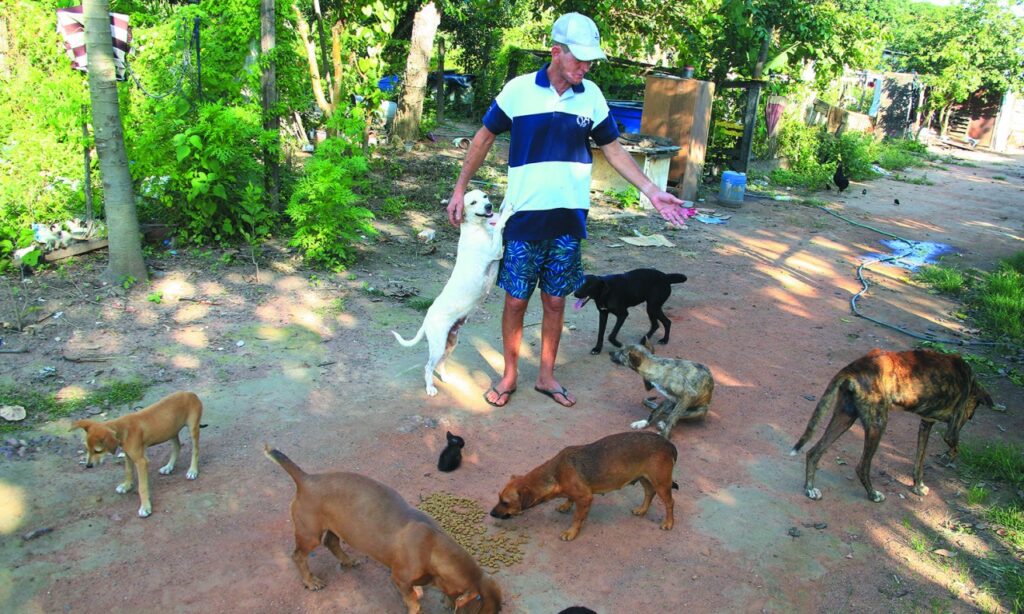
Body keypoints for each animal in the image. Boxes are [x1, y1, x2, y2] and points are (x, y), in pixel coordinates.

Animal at [70, 388, 203, 517]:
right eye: (86, 448)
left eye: (98, 450)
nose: (88, 466)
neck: (122, 429)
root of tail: (191, 394)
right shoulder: (128, 454)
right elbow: (128, 471)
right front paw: (126, 486)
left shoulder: (141, 461)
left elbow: (142, 487)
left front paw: (145, 507)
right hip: (170, 430)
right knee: (177, 447)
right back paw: (168, 467)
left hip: (193, 428)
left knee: (195, 450)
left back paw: (192, 471)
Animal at [266, 446, 501, 614]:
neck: (433, 546)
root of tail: (306, 479)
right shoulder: (399, 579)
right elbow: (413, 603)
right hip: (309, 534)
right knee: (298, 556)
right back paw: (311, 581)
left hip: (337, 526)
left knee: (331, 543)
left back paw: (348, 561)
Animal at [389, 189, 509, 395]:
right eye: (473, 202)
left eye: (485, 196)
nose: (489, 206)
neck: (477, 229)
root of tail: (427, 318)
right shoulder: (496, 251)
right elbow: (500, 226)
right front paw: (508, 211)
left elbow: (497, 227)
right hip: (438, 346)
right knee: (428, 367)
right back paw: (430, 388)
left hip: (450, 343)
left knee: (440, 364)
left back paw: (445, 378)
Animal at [489, 431, 675, 540]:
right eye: (498, 498)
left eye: (505, 502)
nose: (491, 513)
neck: (555, 473)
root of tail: (668, 443)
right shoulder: (574, 493)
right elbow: (570, 499)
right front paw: (565, 505)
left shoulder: (585, 497)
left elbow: (577, 518)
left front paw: (571, 532)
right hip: (645, 479)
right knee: (649, 493)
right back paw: (642, 510)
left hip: (661, 483)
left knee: (669, 503)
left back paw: (669, 523)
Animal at [790, 347, 991, 501]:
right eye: (971, 413)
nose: (970, 417)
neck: (970, 381)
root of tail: (854, 367)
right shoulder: (952, 430)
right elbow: (955, 446)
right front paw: (947, 458)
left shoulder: (926, 425)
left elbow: (919, 462)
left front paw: (918, 487)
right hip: (877, 425)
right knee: (862, 467)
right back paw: (873, 495)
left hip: (844, 418)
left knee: (814, 452)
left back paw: (809, 488)